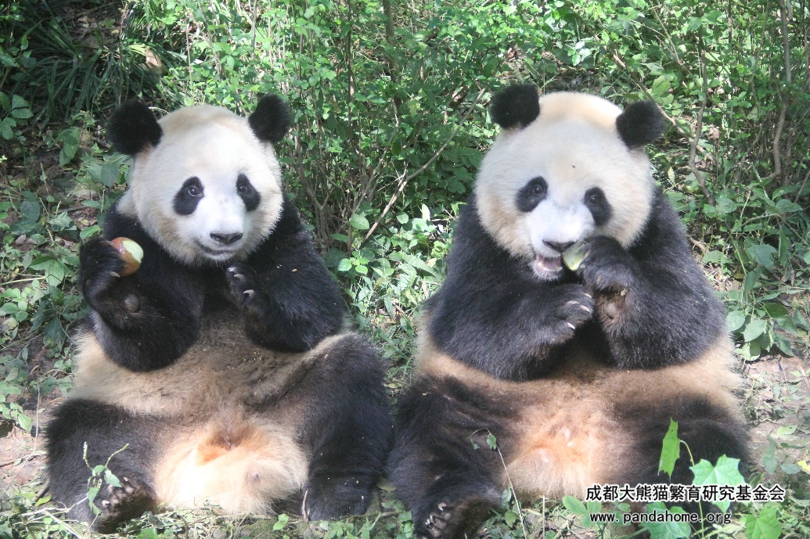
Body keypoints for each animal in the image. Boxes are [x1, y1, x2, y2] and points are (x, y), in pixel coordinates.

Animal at [46, 95, 391, 532]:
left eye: (244, 187)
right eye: (192, 189)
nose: (225, 236)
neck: (210, 266)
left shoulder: (281, 233)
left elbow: (317, 309)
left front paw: (252, 296)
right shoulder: (138, 236)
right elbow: (149, 348)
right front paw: (113, 291)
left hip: (291, 391)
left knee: (351, 387)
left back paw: (333, 498)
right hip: (132, 409)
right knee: (78, 438)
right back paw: (114, 502)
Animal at [389, 85, 748, 539]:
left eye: (595, 198)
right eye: (535, 189)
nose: (558, 245)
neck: (556, 276)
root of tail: (566, 459)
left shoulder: (658, 226)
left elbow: (687, 316)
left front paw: (609, 277)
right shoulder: (476, 233)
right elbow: (465, 317)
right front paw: (560, 312)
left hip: (666, 404)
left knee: (700, 450)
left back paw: (665, 516)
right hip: (478, 398)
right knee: (431, 433)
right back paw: (452, 508)